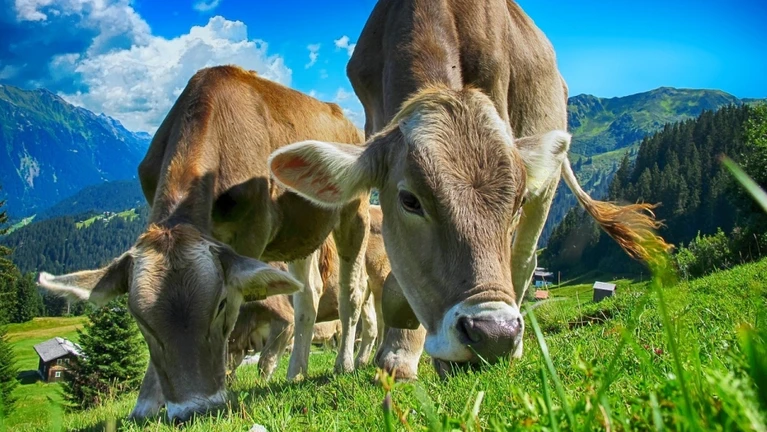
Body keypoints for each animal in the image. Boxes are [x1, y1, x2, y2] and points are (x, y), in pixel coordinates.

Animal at [36, 65, 371, 421]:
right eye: (140, 320)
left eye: (220, 305)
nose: (194, 409)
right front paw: (146, 404)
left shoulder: (251, 233)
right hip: (300, 234)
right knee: (308, 296)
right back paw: (296, 372)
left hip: (355, 211)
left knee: (352, 292)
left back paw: (344, 364)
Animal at [227, 206, 390, 379]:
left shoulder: (284, 319)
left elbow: (265, 361)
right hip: (367, 295)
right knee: (371, 325)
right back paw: (361, 361)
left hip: (380, 279)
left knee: (382, 319)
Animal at [268, 0, 671, 380]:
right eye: (409, 200)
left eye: (515, 202)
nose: (494, 335)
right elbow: (399, 278)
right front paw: (399, 353)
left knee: (524, 259)